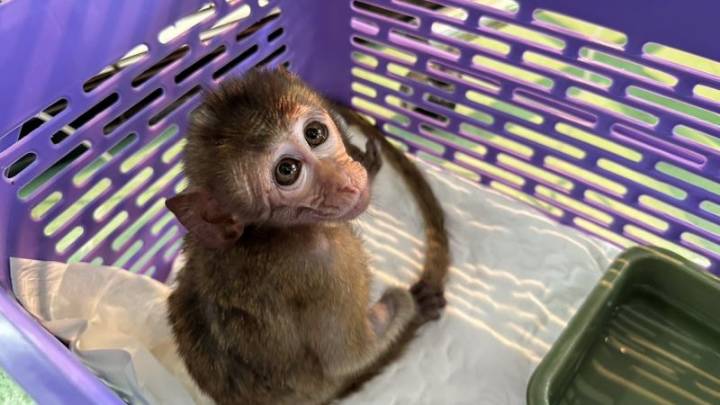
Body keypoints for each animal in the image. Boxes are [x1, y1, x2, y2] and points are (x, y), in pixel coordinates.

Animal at [165, 67, 450, 405]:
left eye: (315, 134)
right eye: (287, 170)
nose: (345, 181)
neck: (269, 231)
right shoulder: (328, 265)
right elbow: (347, 357)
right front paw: (413, 306)